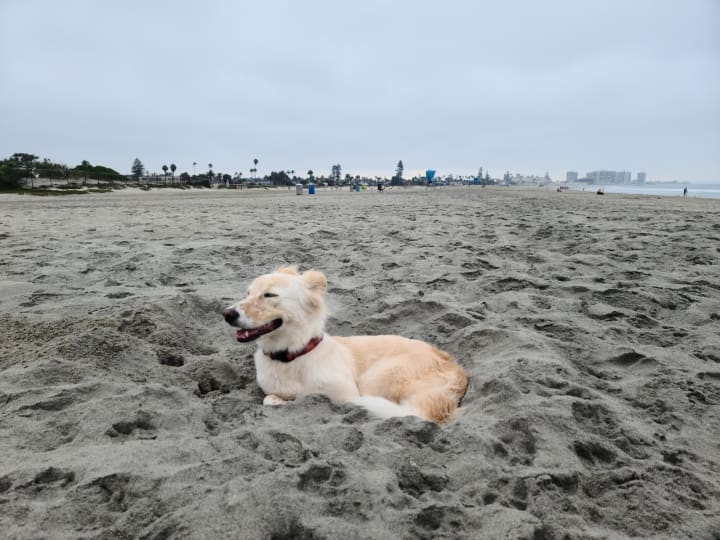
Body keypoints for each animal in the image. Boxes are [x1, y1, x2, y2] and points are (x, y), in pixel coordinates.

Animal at [223, 267, 468, 424]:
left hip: (376, 378)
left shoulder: (349, 395)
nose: (227, 314)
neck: (293, 356)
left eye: (269, 295)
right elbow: (269, 399)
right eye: (248, 292)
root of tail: (456, 368)